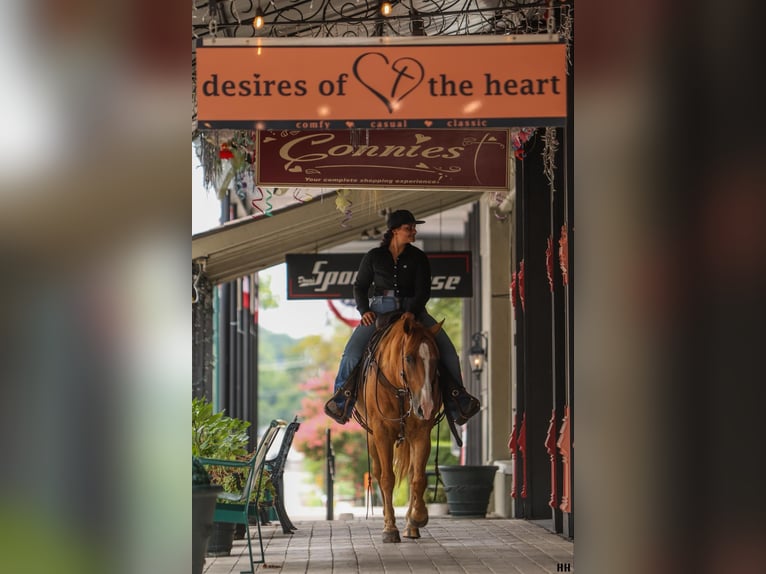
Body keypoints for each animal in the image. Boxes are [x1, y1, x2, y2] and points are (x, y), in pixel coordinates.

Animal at [354, 312, 444, 548]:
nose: (426, 406)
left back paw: (411, 526)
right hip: (371, 438)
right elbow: (387, 478)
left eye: (437, 359)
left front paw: (418, 517)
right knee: (378, 473)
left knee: (412, 472)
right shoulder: (381, 433)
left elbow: (418, 478)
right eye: (409, 358)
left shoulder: (421, 433)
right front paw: (389, 529)